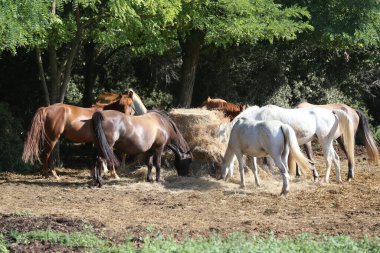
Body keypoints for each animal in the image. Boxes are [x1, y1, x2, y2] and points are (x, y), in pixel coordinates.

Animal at [218, 105, 354, 184]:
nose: (224, 176)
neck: (259, 116)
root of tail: (332, 112)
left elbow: (270, 161)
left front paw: (272, 175)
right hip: (328, 143)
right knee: (336, 158)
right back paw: (338, 179)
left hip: (324, 142)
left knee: (329, 160)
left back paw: (324, 180)